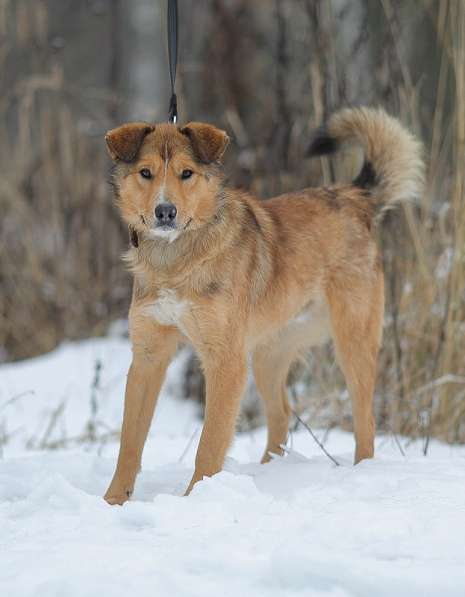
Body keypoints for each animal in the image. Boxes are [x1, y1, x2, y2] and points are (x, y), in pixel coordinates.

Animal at [103, 107, 422, 502]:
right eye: (145, 173)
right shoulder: (148, 356)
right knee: (282, 414)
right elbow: (129, 441)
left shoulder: (225, 361)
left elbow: (210, 443)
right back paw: (270, 474)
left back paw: (360, 472)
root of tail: (351, 196)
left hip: (353, 343)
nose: (165, 211)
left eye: (186, 173)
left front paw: (197, 498)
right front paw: (113, 501)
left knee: (366, 420)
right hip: (268, 356)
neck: (175, 260)